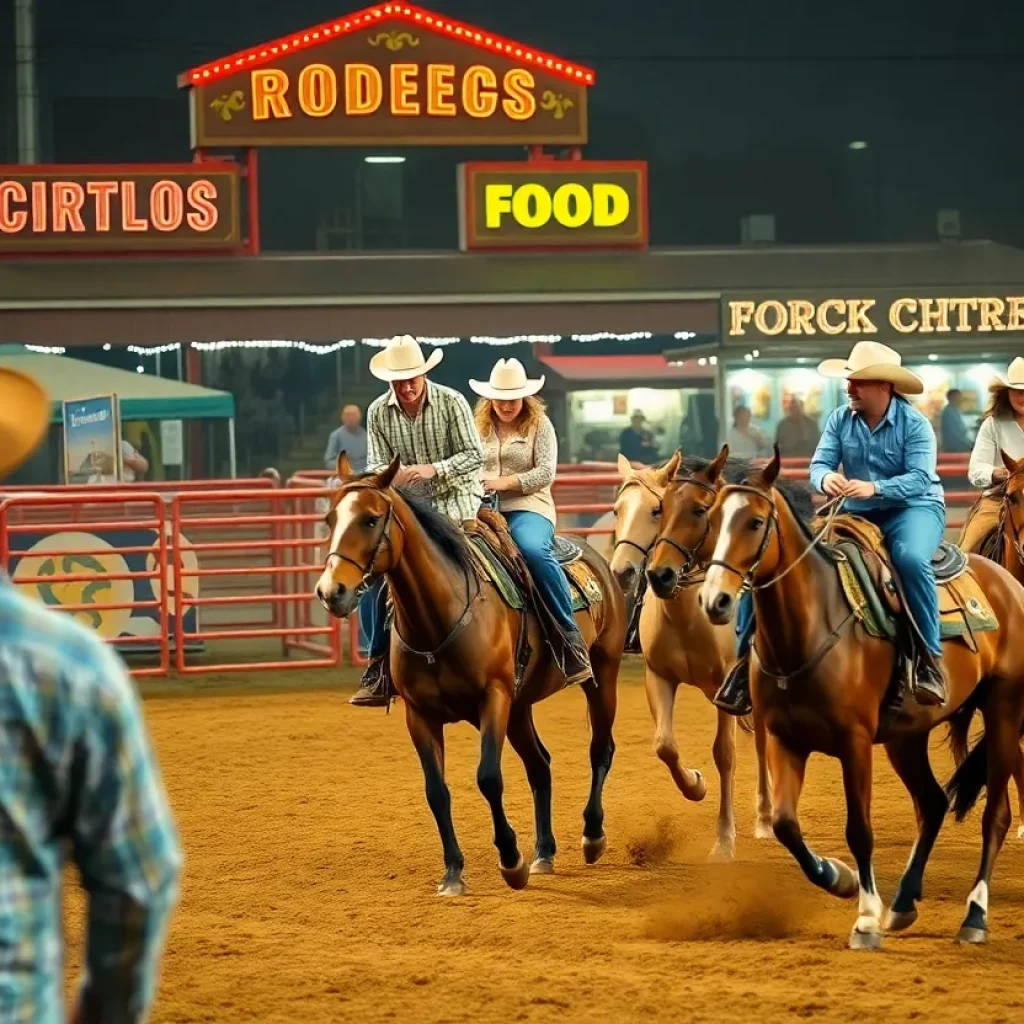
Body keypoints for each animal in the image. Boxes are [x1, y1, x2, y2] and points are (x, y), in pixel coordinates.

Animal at [315, 456, 626, 897]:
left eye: (371, 519)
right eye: (330, 518)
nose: (331, 592)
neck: (438, 619)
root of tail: (596, 558)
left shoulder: (493, 699)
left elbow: (489, 778)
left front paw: (511, 861)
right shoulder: (420, 716)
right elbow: (436, 791)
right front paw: (453, 873)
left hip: (602, 674)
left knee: (600, 748)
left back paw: (592, 835)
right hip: (520, 706)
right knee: (540, 765)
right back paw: (544, 852)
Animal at [610, 448, 770, 856]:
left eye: (654, 510)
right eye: (617, 510)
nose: (622, 572)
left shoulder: (726, 685)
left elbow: (725, 754)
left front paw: (724, 840)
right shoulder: (659, 677)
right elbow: (665, 746)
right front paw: (696, 785)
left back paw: (765, 818)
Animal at [679, 452, 1024, 946]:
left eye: (756, 521)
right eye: (712, 517)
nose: (715, 600)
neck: (808, 630)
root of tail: (1008, 586)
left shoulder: (855, 743)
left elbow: (859, 830)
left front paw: (865, 919)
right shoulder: (785, 740)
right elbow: (785, 824)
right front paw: (838, 878)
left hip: (1003, 713)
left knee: (994, 814)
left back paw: (974, 917)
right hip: (906, 736)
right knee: (932, 804)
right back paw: (903, 904)